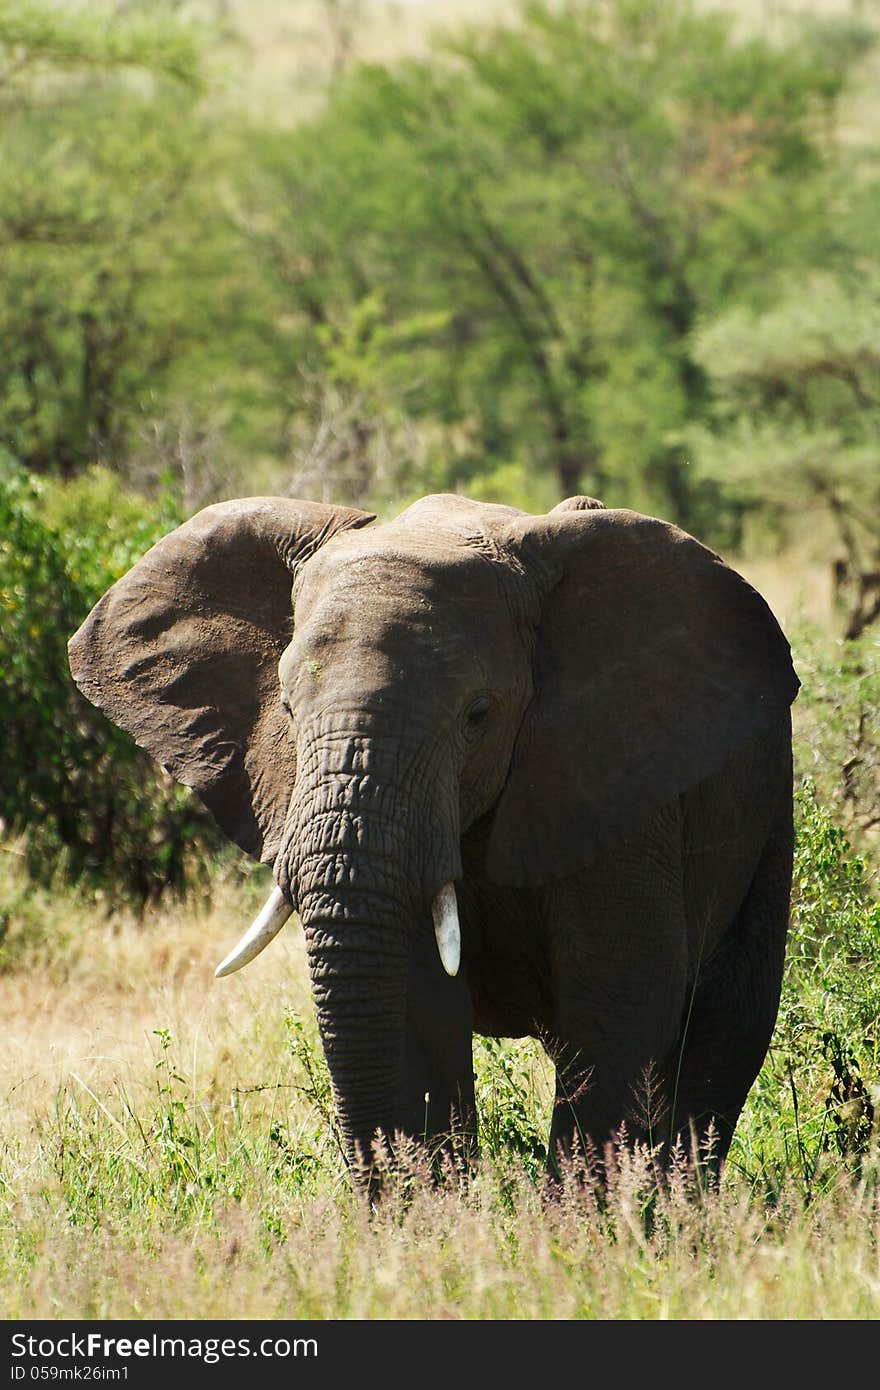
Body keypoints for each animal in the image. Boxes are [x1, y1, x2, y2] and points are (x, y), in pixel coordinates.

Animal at [67, 494, 795, 1178]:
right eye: (288, 709)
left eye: (478, 715)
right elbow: (412, 1007)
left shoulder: (622, 780)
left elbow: (621, 997)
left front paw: (576, 1228)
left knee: (727, 1028)